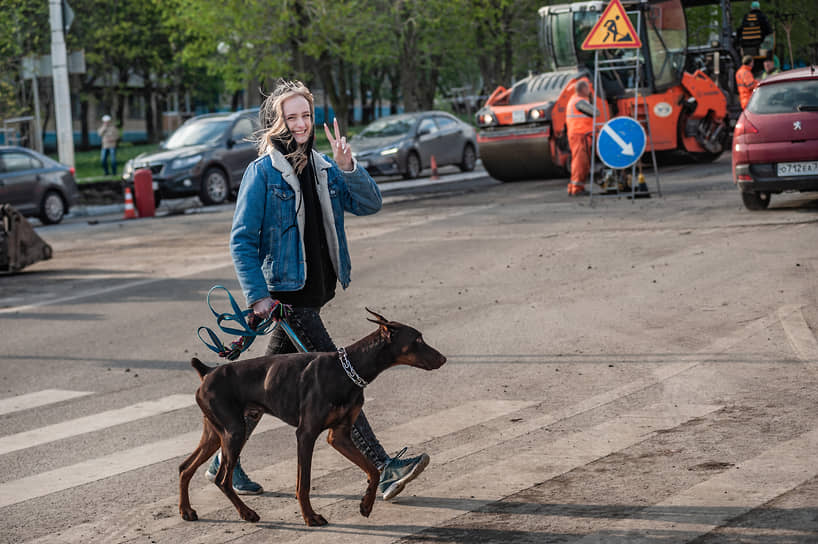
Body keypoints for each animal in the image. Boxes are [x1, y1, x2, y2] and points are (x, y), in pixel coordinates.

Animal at [178, 310, 446, 528]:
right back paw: (247, 513)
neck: (347, 371)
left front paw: (366, 505)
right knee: (222, 480)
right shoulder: (305, 434)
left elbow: (373, 470)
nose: (443, 358)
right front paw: (310, 517)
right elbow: (303, 483)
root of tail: (206, 372)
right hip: (234, 430)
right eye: (417, 340)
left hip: (216, 432)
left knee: (184, 467)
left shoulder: (340, 435)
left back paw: (187, 510)